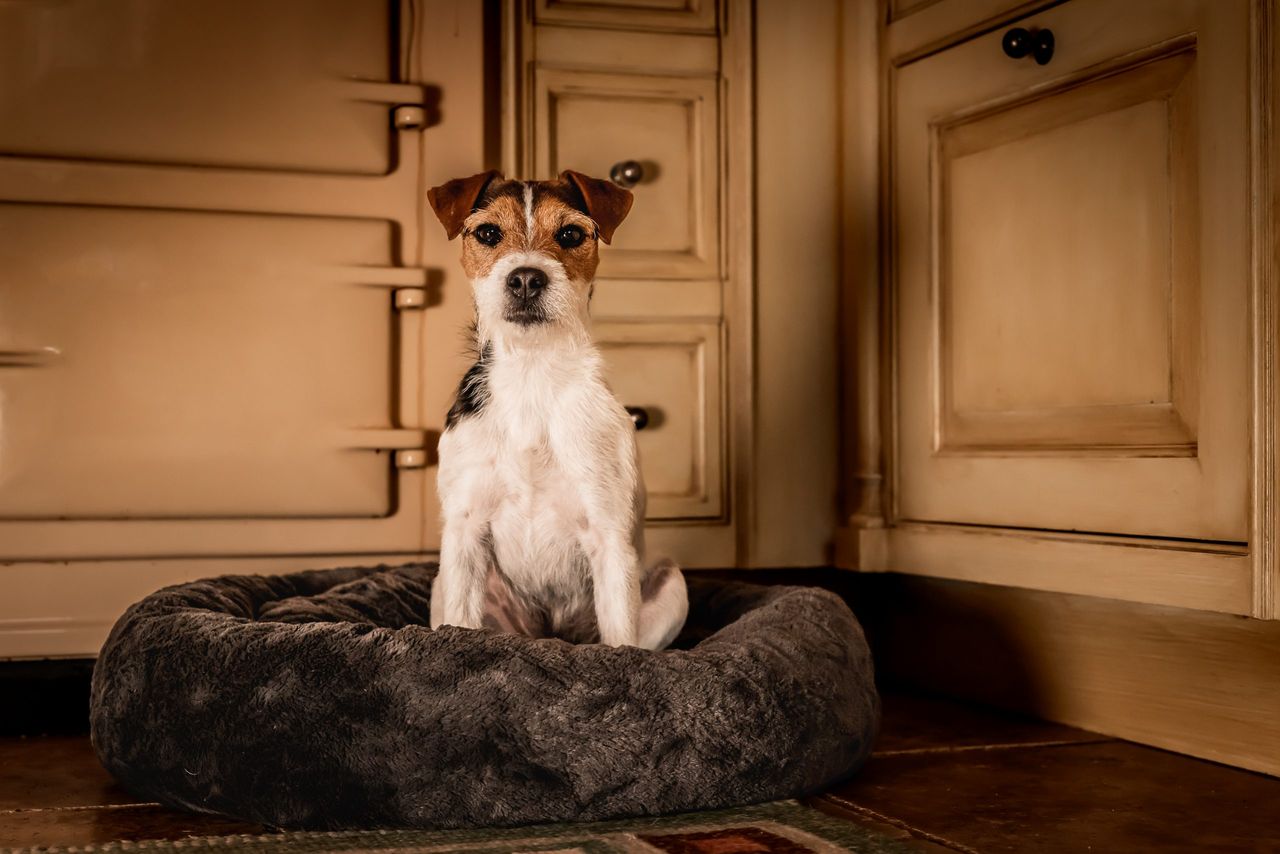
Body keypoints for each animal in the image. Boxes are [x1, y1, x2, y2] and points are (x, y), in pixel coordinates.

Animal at [424, 170, 691, 650]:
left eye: (570, 234)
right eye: (487, 233)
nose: (526, 279)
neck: (534, 372)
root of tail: (550, 634)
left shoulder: (608, 534)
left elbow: (621, 639)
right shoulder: (465, 527)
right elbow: (460, 621)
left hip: (671, 585)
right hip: (447, 584)